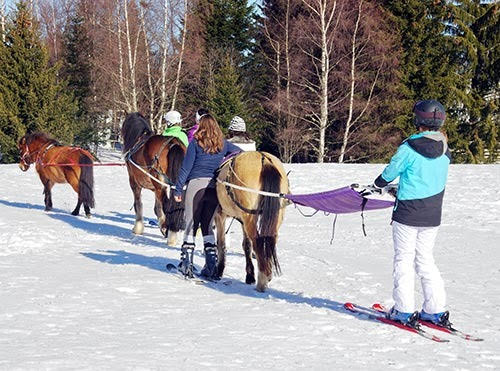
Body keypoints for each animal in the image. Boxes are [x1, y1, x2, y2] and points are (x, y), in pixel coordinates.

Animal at [121, 112, 186, 247]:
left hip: (157, 183)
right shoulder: (156, 188)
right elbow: (157, 208)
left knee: (167, 205)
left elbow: (138, 204)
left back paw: (170, 234)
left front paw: (138, 228)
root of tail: (173, 144)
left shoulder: (134, 183)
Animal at [214, 153, 292, 292]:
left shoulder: (220, 216)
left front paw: (219, 270)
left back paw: (262, 280)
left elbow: (221, 243)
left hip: (249, 215)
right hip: (273, 215)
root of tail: (264, 160)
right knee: (271, 238)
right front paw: (249, 275)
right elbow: (246, 245)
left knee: (258, 242)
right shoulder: (242, 220)